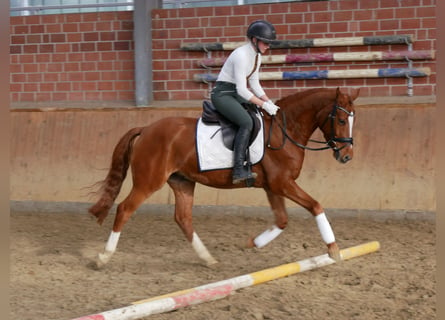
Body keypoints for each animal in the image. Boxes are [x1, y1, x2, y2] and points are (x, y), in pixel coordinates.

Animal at [89, 87, 358, 268]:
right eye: (341, 120)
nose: (346, 156)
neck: (285, 131)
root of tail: (146, 129)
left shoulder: (273, 186)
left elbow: (282, 220)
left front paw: (252, 243)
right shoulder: (282, 183)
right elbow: (316, 206)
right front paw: (333, 250)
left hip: (182, 181)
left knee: (183, 218)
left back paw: (208, 258)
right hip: (149, 182)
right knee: (125, 209)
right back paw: (103, 257)